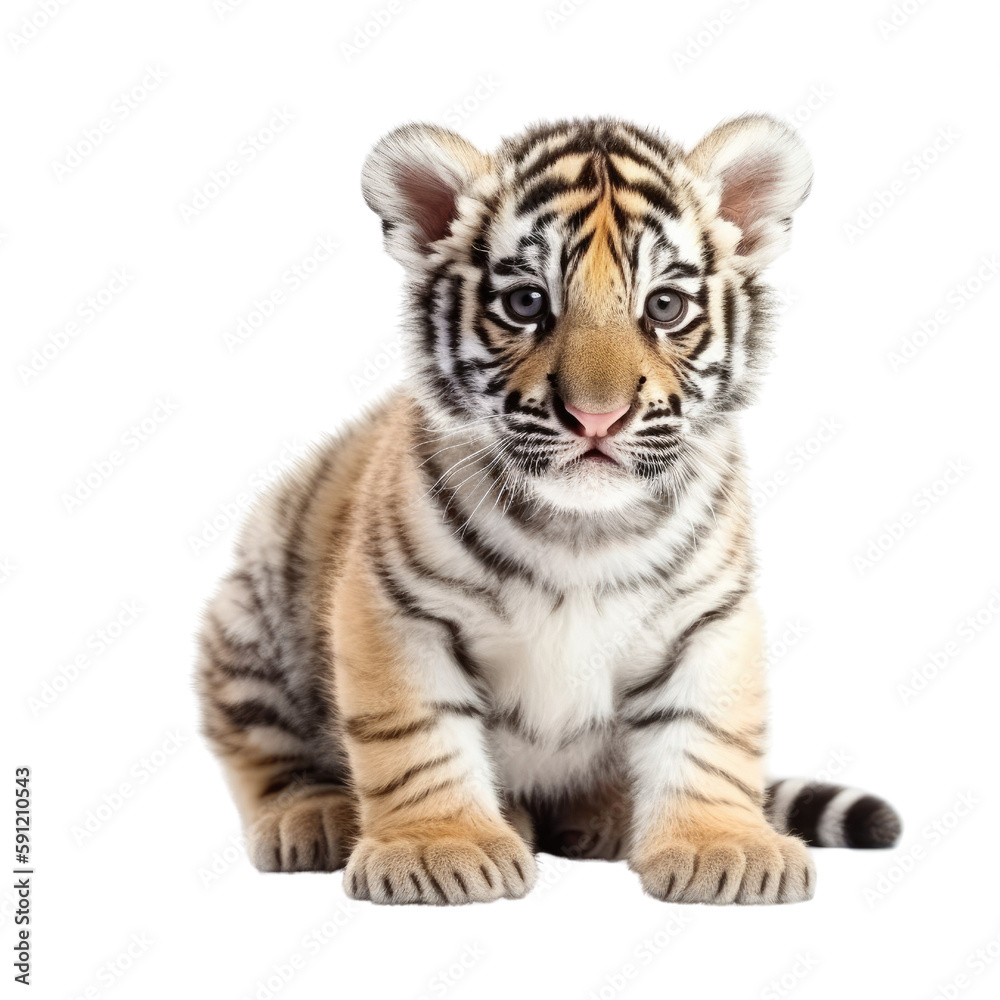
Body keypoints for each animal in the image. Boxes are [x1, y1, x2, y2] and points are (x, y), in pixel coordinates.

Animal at [195, 114, 901, 906]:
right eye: (527, 303)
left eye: (664, 306)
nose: (597, 416)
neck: (583, 530)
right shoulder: (395, 609)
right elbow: (414, 733)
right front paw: (440, 847)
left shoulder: (710, 616)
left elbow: (709, 733)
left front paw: (724, 845)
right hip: (249, 620)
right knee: (263, 752)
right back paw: (314, 817)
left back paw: (601, 819)